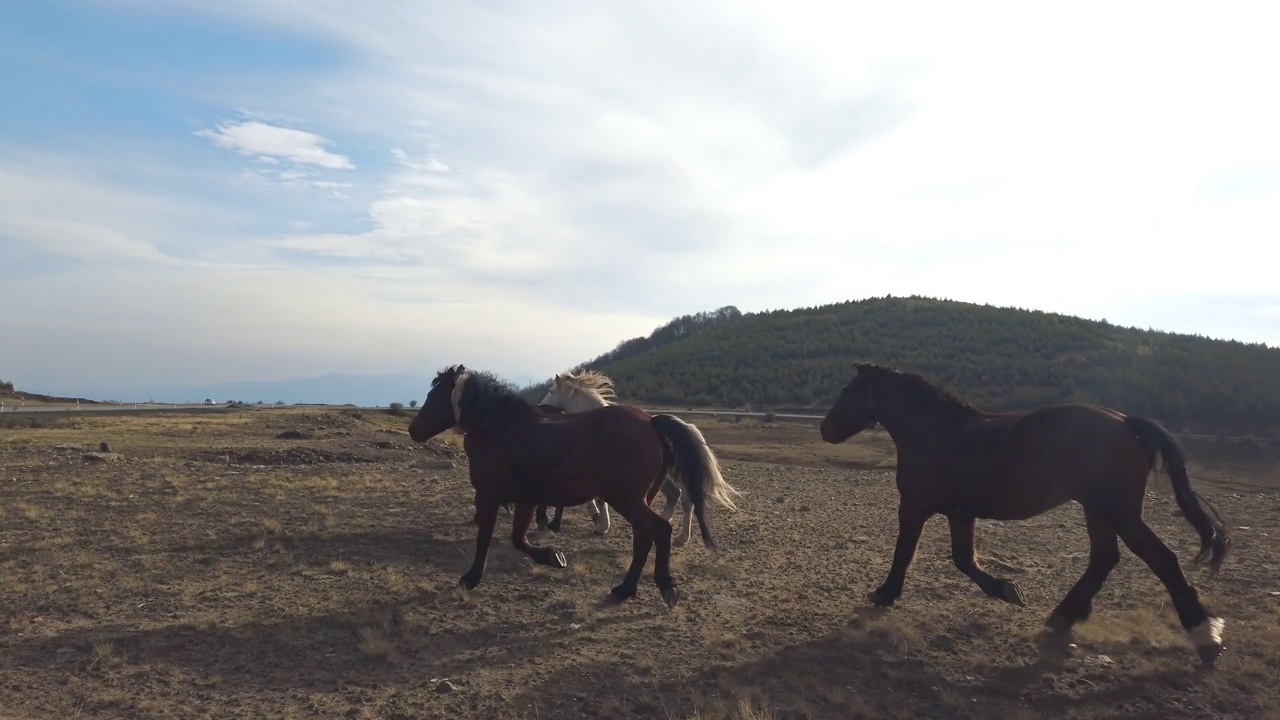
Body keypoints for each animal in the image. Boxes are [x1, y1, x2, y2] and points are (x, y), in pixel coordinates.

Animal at [404, 361, 737, 602]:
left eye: (433, 396)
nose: (412, 430)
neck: (502, 428)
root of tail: (652, 422)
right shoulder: (526, 499)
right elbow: (519, 539)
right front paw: (554, 557)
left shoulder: (491, 495)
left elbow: (487, 538)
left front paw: (471, 578)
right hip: (637, 498)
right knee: (648, 533)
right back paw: (625, 589)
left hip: (627, 497)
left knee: (659, 529)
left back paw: (663, 585)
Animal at [819, 361, 1228, 666]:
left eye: (847, 393)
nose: (825, 429)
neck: (935, 431)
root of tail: (1126, 421)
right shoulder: (960, 512)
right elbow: (962, 559)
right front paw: (1006, 590)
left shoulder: (916, 507)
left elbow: (907, 553)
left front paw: (884, 594)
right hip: (1098, 511)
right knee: (1105, 558)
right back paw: (1064, 615)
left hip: (1118, 512)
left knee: (1161, 559)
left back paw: (1205, 637)